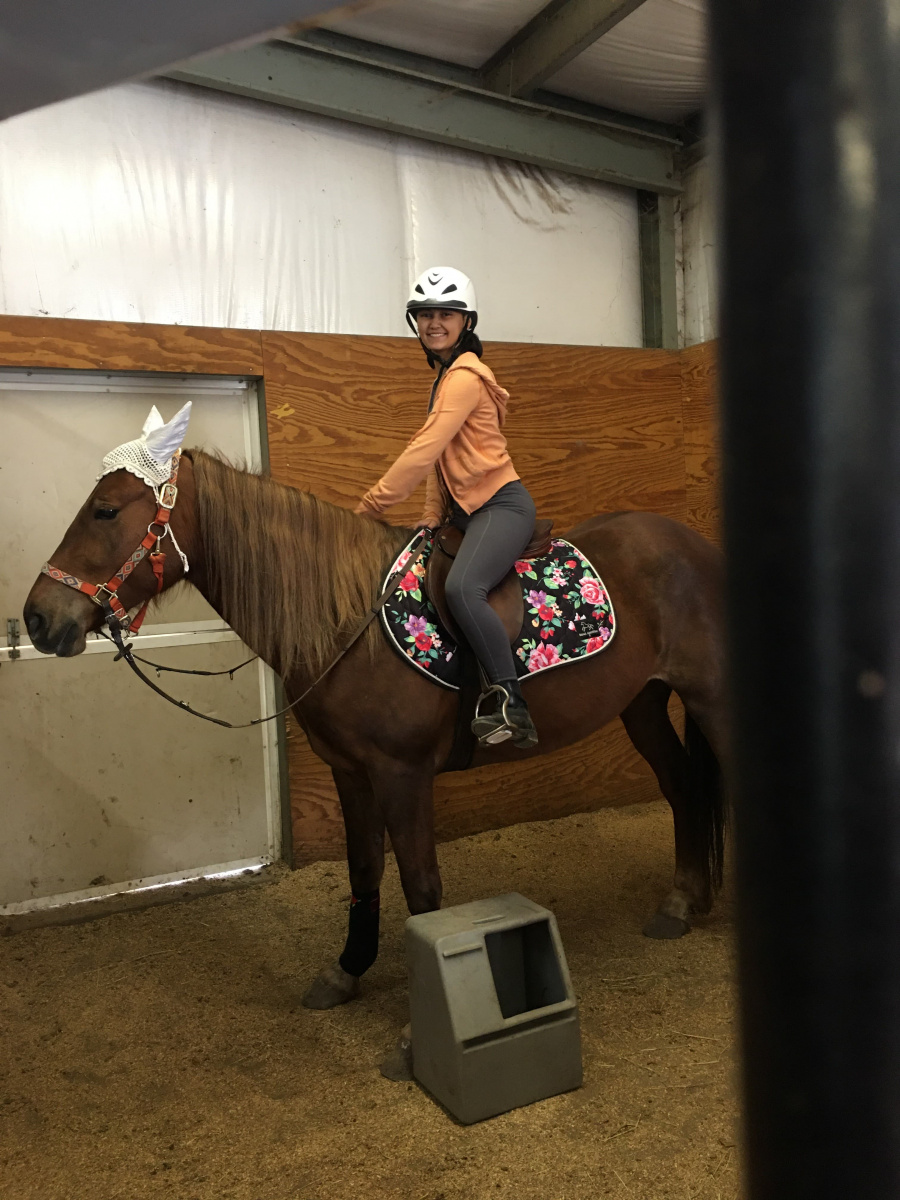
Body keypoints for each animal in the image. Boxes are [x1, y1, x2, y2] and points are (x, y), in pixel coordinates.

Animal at [22, 451, 734, 1022]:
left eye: (105, 511)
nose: (37, 618)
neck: (347, 621)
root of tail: (695, 546)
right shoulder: (351, 771)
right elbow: (365, 870)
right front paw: (347, 970)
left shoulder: (402, 773)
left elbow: (421, 884)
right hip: (643, 703)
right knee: (682, 786)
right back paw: (681, 902)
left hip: (710, 699)